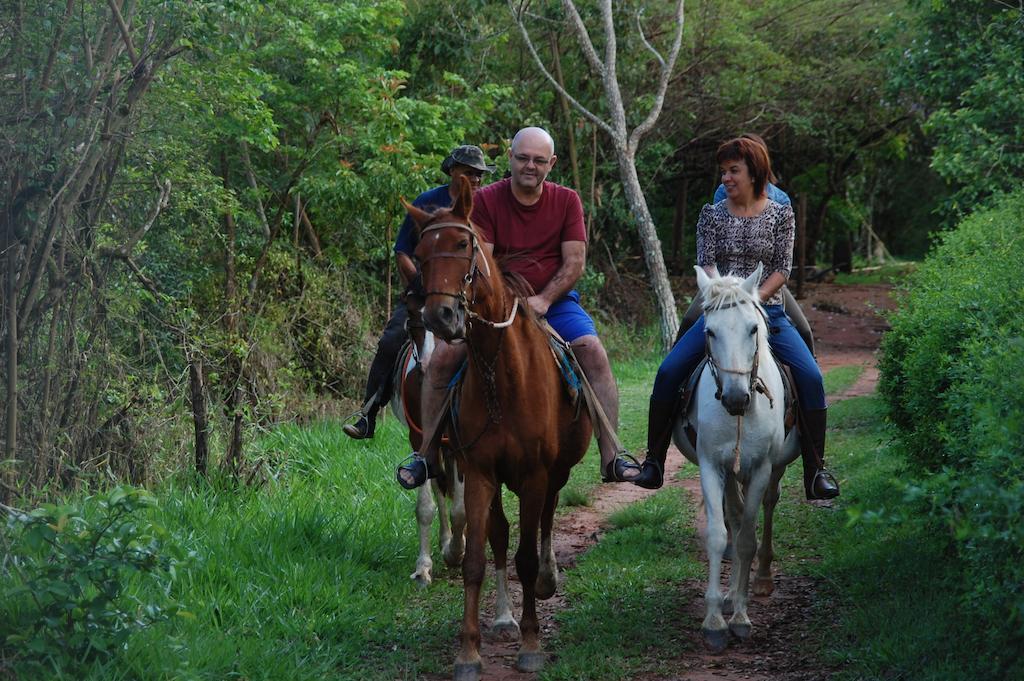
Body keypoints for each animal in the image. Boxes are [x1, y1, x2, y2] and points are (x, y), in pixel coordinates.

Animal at [401, 178, 589, 675]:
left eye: (464, 244)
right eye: (421, 254)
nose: (440, 317)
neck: (501, 376)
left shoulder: (536, 475)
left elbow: (526, 556)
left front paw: (531, 645)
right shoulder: (482, 471)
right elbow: (476, 559)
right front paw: (469, 651)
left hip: (553, 473)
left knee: (545, 522)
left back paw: (547, 578)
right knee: (500, 534)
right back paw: (504, 618)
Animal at [675, 262, 802, 651]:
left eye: (753, 328)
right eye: (710, 332)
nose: (735, 398)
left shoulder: (761, 468)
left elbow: (747, 538)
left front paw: (741, 618)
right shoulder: (712, 466)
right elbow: (720, 534)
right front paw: (715, 620)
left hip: (776, 467)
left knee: (768, 506)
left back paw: (760, 579)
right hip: (732, 472)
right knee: (734, 514)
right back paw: (732, 594)